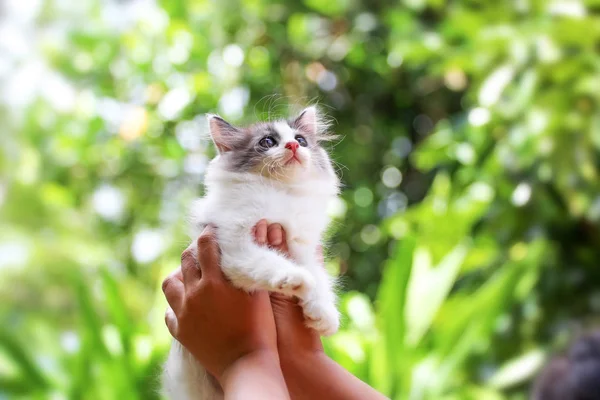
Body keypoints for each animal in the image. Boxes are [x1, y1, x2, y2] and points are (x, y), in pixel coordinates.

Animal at [163, 107, 342, 400]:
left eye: (301, 140)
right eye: (267, 142)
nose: (293, 146)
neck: (279, 192)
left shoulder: (304, 247)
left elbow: (320, 280)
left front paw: (324, 315)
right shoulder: (234, 248)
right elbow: (271, 262)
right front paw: (296, 279)